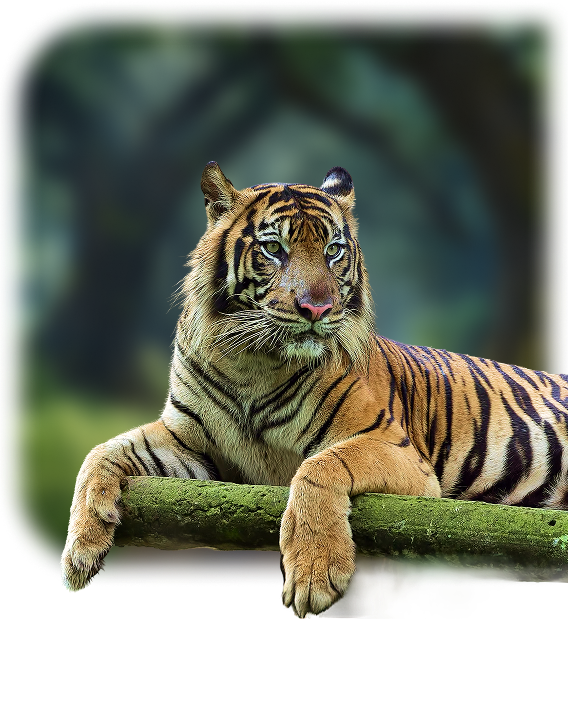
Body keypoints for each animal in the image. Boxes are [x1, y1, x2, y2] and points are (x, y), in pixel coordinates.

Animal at [61, 161, 568, 618]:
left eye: (333, 250)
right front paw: (80, 551)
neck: (251, 361)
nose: (317, 308)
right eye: (274, 248)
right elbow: (100, 452)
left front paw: (313, 574)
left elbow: (320, 467)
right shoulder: (191, 442)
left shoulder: (397, 450)